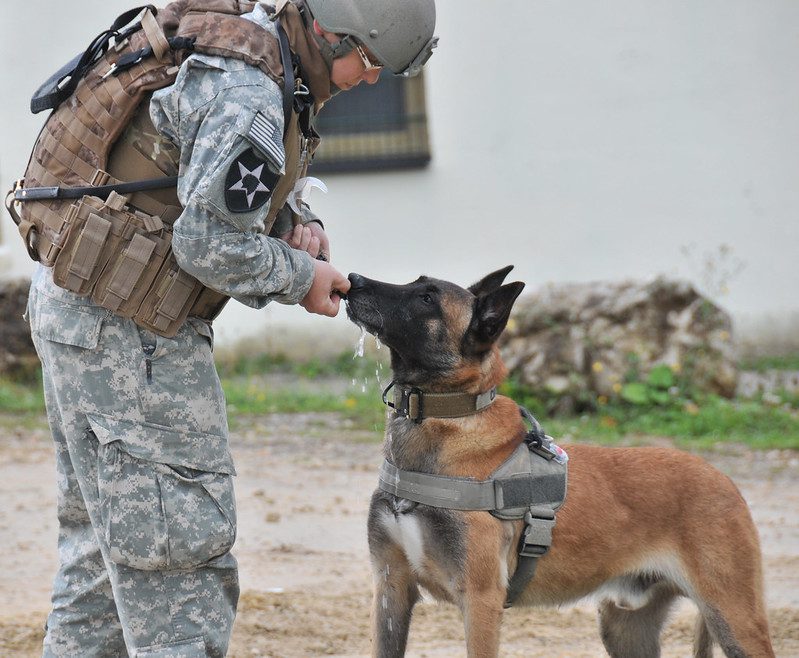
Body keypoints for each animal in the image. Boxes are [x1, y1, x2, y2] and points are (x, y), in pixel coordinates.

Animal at [346, 266, 776, 656]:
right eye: (417, 284)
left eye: (427, 298)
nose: (353, 280)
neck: (442, 418)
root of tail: (722, 477)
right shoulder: (391, 588)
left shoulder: (480, 600)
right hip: (625, 627)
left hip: (734, 619)